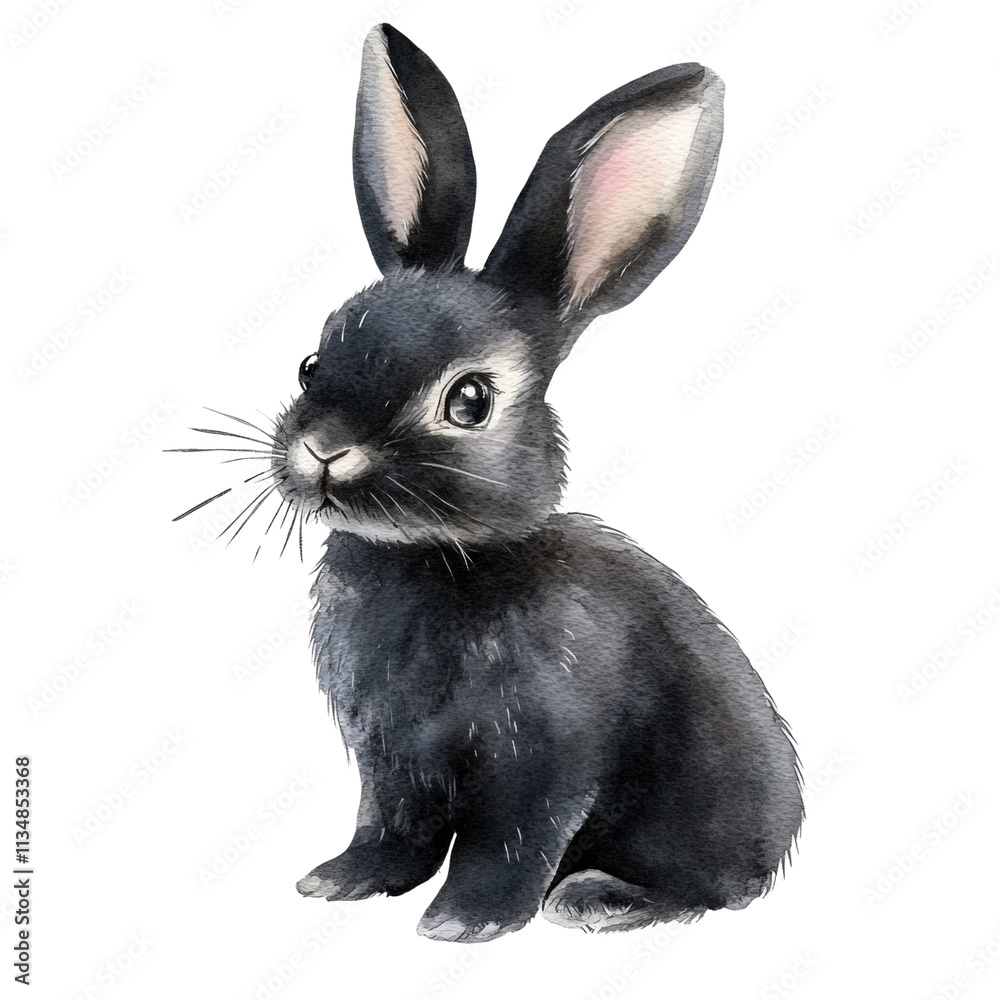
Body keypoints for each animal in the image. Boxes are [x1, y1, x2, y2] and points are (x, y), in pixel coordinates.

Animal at [232, 23, 802, 942]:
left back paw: (599, 899)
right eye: (312, 362)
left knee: (712, 889)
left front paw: (464, 924)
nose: (324, 450)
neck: (429, 558)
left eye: (470, 400)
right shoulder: (389, 759)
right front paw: (341, 882)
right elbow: (390, 828)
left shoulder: (542, 758)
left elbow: (511, 842)